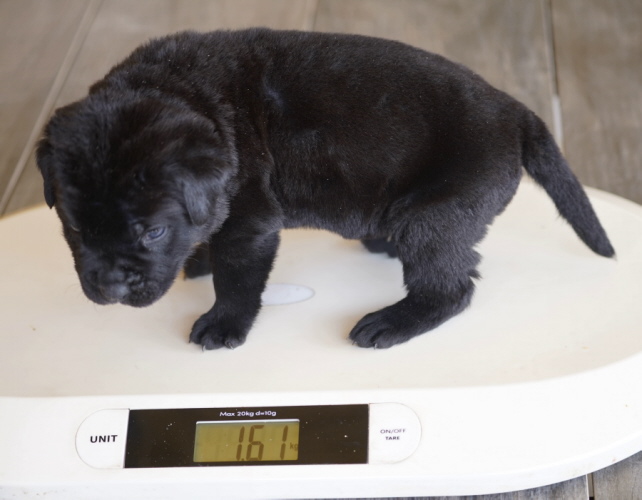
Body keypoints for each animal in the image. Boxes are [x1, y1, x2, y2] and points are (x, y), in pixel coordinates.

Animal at [36, 28, 614, 350]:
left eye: (152, 232)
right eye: (74, 230)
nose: (111, 286)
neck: (183, 90)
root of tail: (517, 112)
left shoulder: (250, 223)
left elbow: (237, 280)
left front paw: (224, 324)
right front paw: (197, 259)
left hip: (434, 216)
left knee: (450, 287)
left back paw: (391, 322)